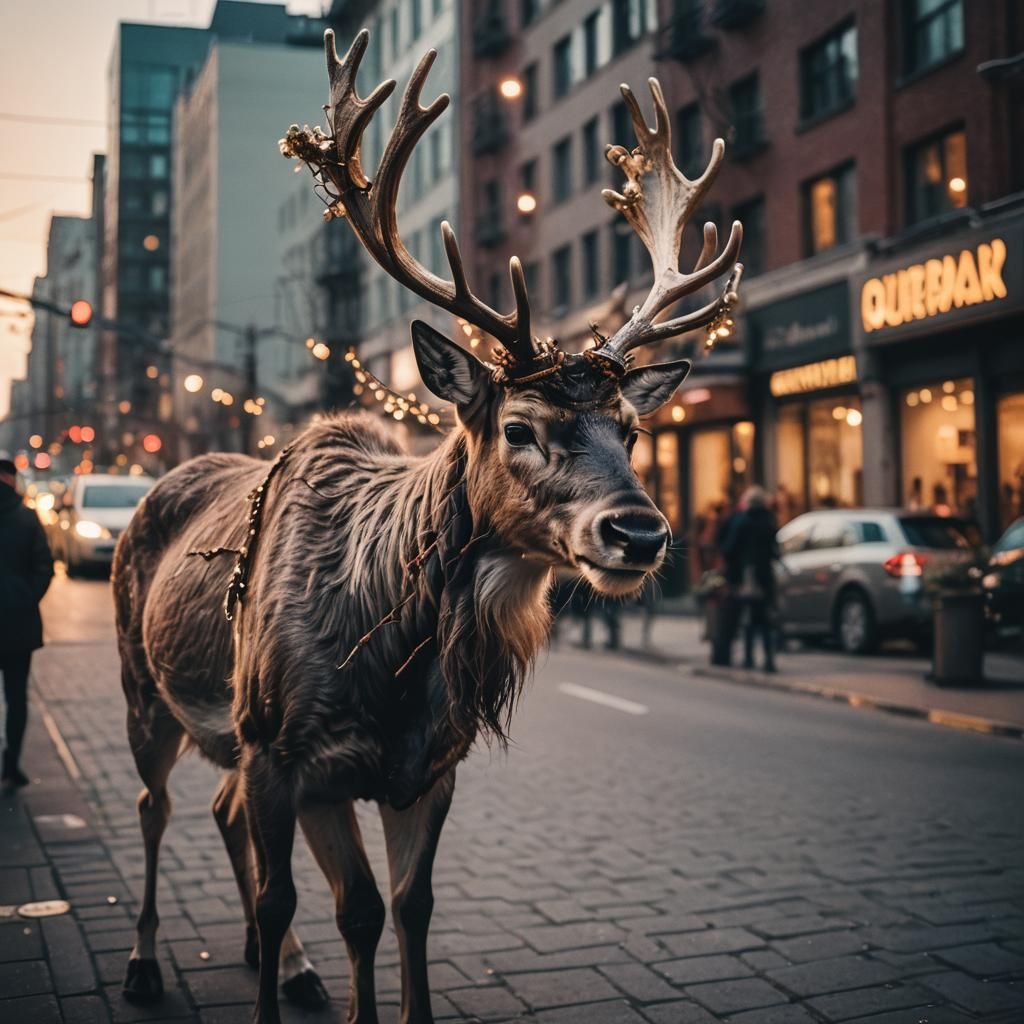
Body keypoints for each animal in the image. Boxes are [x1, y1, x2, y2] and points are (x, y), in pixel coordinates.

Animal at [111, 28, 742, 1024]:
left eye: (633, 432)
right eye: (519, 428)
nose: (641, 535)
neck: (394, 664)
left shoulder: (425, 771)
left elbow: (405, 908)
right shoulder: (283, 750)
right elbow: (330, 904)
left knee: (217, 813)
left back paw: (284, 963)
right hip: (147, 688)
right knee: (155, 809)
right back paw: (145, 962)